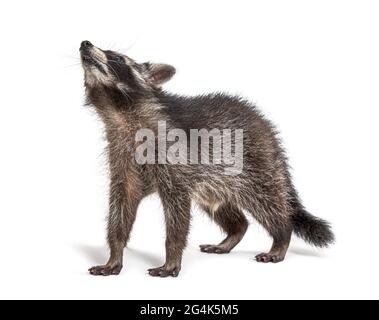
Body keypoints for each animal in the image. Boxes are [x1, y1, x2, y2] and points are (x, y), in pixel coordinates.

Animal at [80, 40, 336, 278]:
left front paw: (172, 256)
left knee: (269, 204)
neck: (119, 113)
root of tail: (268, 132)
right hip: (215, 184)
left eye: (116, 57)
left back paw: (281, 237)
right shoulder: (122, 158)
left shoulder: (174, 160)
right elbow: (120, 208)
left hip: (256, 167)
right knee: (230, 213)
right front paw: (114, 254)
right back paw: (234, 233)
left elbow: (177, 214)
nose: (85, 43)